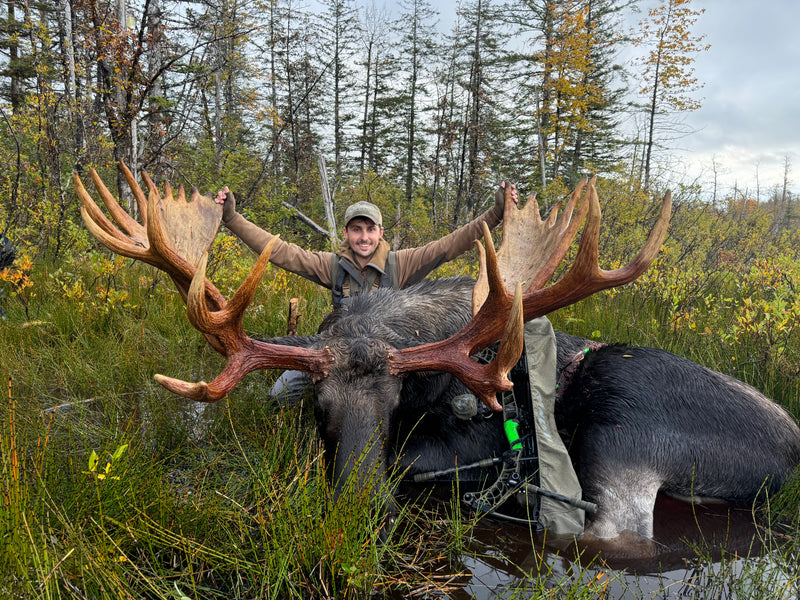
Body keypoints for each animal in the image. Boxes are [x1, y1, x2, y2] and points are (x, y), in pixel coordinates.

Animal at [75, 163, 800, 540]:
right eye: (319, 408)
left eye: (395, 407)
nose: (364, 506)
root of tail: (792, 456)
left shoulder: (469, 439)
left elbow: (413, 461)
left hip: (621, 431)